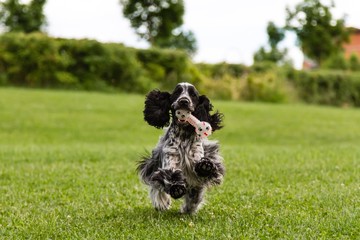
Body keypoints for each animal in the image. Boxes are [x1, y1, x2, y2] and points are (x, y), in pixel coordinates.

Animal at [138, 82, 225, 214]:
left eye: (193, 95)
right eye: (177, 92)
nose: (184, 101)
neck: (184, 135)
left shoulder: (196, 156)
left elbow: (202, 167)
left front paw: (205, 166)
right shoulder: (170, 159)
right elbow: (169, 176)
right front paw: (176, 188)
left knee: (194, 197)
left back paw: (188, 209)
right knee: (157, 188)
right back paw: (162, 203)